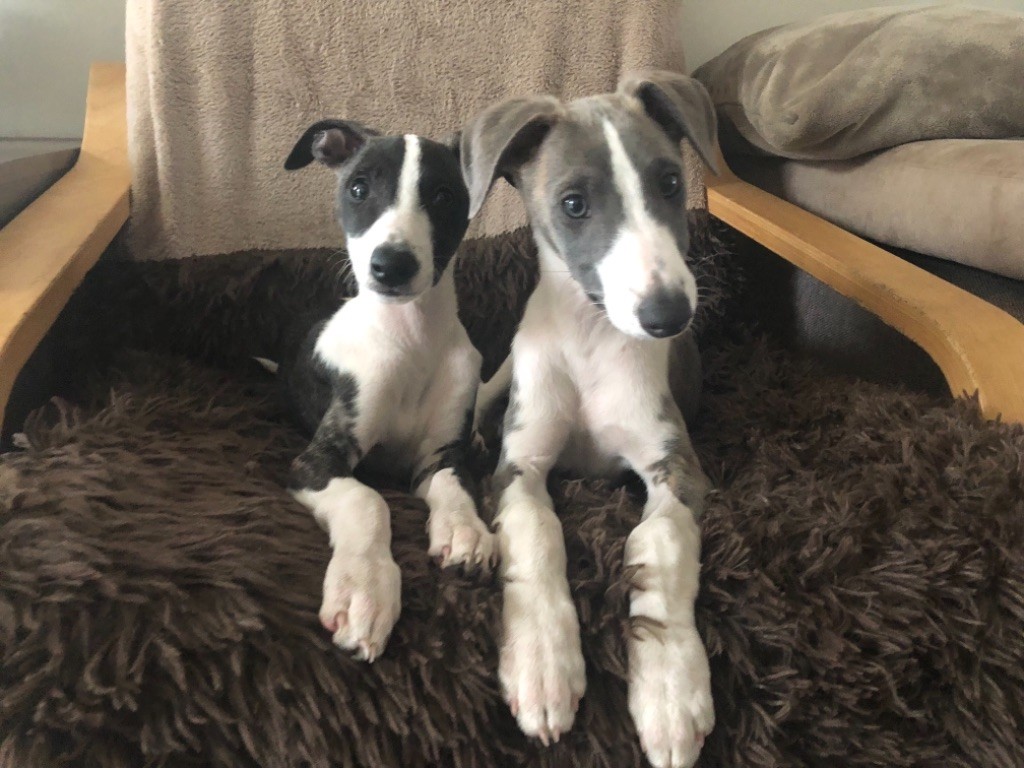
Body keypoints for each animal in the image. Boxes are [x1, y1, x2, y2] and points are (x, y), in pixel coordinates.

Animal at [280, 120, 495, 663]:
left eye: (443, 195)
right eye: (358, 189)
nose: (391, 266)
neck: (410, 338)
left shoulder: (440, 454)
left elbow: (455, 485)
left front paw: (464, 531)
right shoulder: (316, 461)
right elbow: (368, 501)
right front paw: (365, 590)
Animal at [461, 71, 719, 768]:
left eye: (670, 183)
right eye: (573, 204)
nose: (668, 315)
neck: (592, 337)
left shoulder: (677, 468)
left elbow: (655, 546)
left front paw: (670, 692)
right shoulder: (519, 467)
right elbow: (537, 533)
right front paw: (542, 663)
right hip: (503, 373)